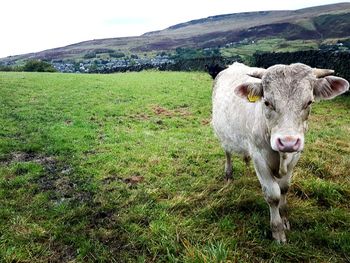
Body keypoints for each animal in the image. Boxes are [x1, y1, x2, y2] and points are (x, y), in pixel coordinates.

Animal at [212, 62, 348, 243]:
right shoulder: (259, 158)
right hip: (223, 133)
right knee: (227, 152)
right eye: (267, 102)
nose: (287, 142)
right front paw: (277, 231)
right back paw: (228, 175)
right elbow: (273, 195)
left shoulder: (295, 156)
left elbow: (284, 188)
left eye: (309, 102)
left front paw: (284, 219)